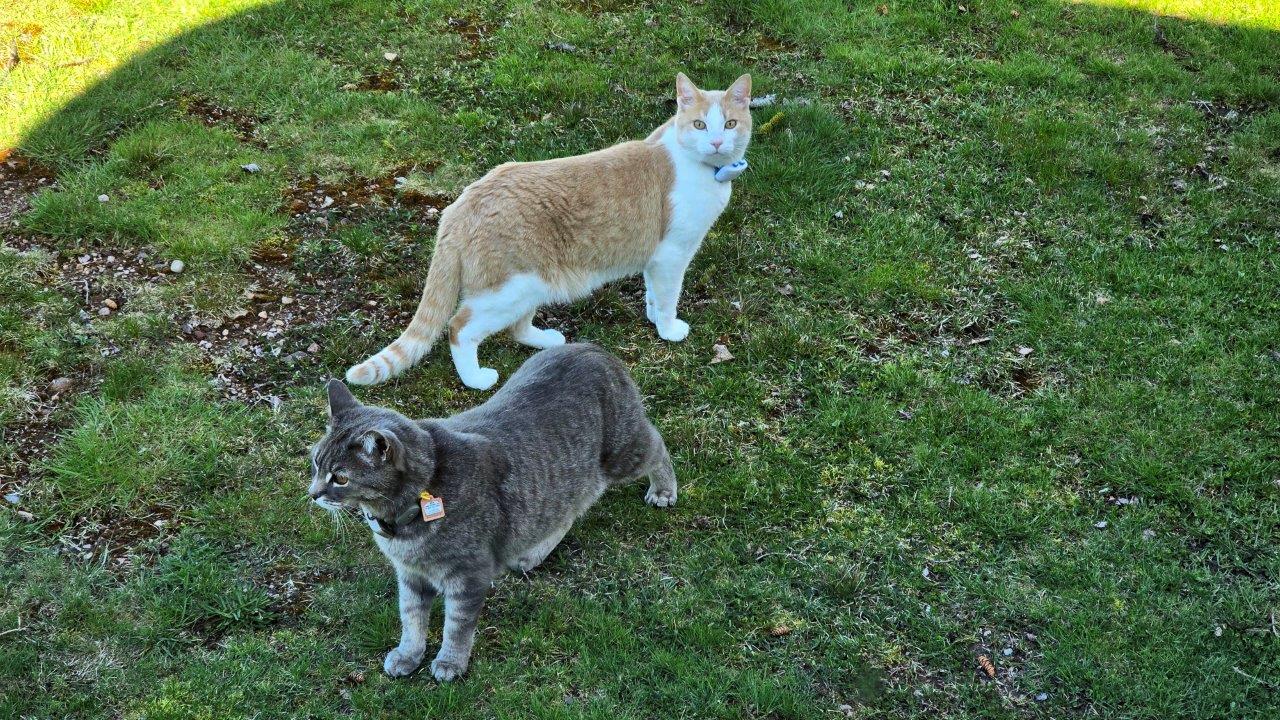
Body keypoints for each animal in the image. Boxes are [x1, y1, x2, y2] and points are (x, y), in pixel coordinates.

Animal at [309, 343, 678, 681]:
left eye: (340, 477)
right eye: (316, 462)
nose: (312, 494)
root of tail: (594, 347)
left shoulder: (469, 575)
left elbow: (456, 626)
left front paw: (450, 662)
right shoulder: (410, 576)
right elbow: (411, 618)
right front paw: (408, 654)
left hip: (623, 453)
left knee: (657, 444)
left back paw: (663, 489)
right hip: (565, 481)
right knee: (571, 506)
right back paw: (533, 553)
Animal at [345, 72, 753, 390]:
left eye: (729, 124)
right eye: (700, 125)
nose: (717, 142)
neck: (698, 167)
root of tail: (461, 205)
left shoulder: (655, 261)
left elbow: (653, 295)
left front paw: (653, 317)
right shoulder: (671, 256)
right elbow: (668, 298)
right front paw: (668, 329)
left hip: (533, 284)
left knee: (517, 327)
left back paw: (547, 341)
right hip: (509, 289)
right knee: (460, 327)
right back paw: (476, 379)